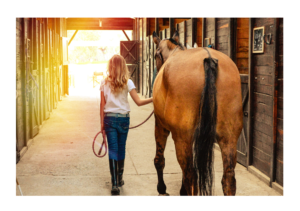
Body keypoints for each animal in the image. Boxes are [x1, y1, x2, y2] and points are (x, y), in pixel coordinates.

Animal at [152, 31, 244, 196]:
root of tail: (209, 59)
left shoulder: (160, 125)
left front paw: (161, 188)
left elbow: (159, 160)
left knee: (191, 176)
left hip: (182, 138)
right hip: (229, 138)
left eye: (156, 55)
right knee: (228, 179)